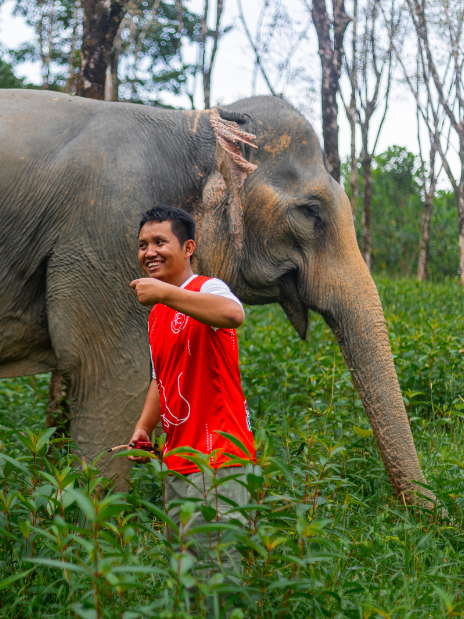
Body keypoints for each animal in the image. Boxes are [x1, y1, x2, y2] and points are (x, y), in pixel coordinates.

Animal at [0, 89, 436, 506]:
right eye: (311, 213)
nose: (430, 516)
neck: (192, 124)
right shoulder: (108, 234)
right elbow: (111, 375)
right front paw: (100, 517)